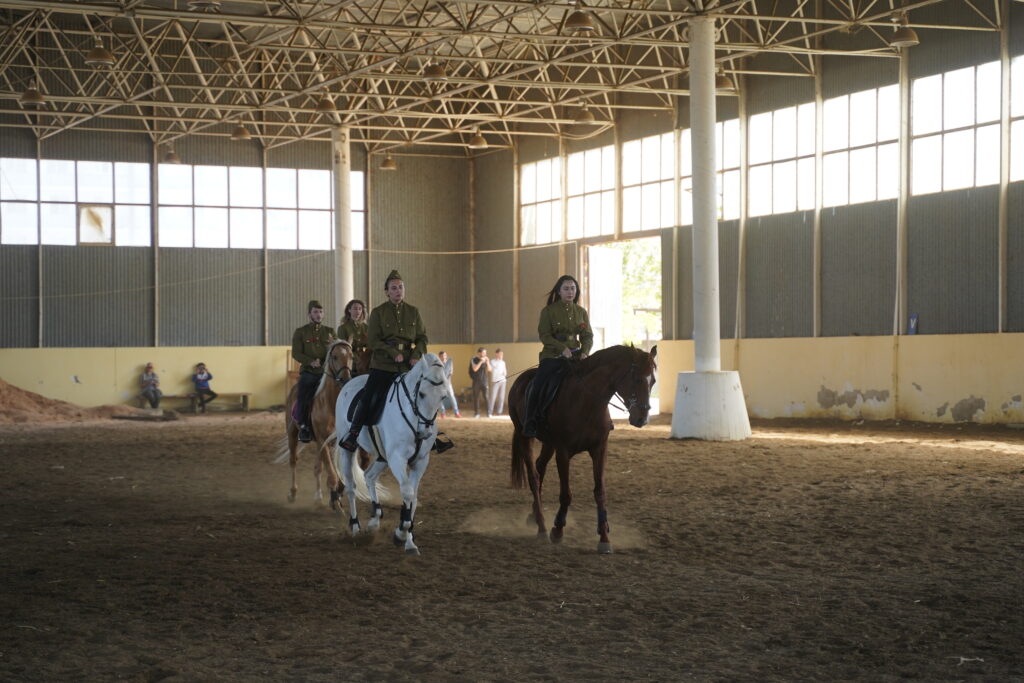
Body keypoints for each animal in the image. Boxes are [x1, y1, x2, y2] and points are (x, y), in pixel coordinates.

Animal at [333, 352, 449, 555]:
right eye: (421, 394)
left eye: (443, 396)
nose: (425, 433)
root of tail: (349, 382)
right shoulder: (397, 459)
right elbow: (408, 493)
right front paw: (401, 534)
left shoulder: (420, 461)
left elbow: (413, 498)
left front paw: (409, 541)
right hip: (348, 449)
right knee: (351, 487)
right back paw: (355, 527)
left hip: (383, 458)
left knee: (369, 476)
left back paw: (375, 519)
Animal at [508, 344, 658, 554]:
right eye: (636, 379)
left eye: (653, 381)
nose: (641, 419)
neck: (586, 402)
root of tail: (520, 381)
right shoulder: (563, 452)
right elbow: (566, 494)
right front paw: (557, 530)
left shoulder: (599, 450)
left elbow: (600, 492)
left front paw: (604, 537)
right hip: (525, 436)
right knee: (533, 476)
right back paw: (542, 526)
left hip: (549, 443)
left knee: (540, 467)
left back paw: (533, 516)